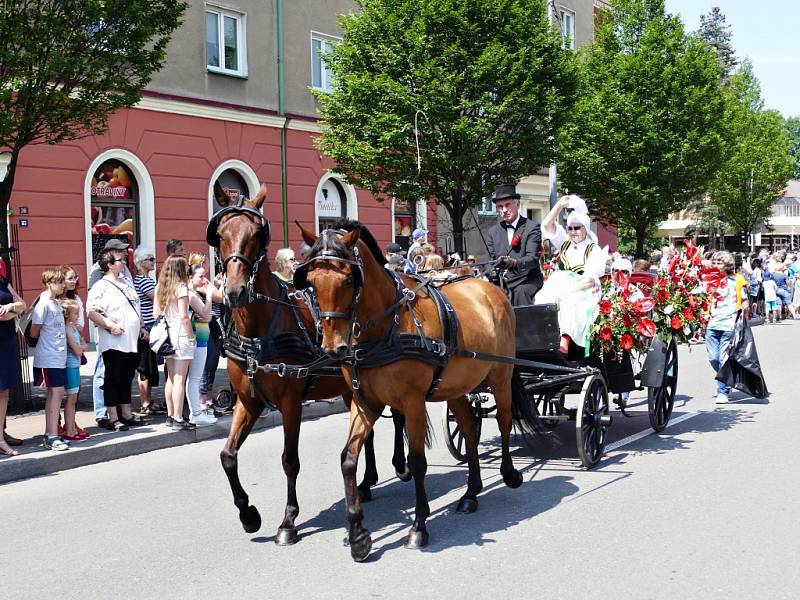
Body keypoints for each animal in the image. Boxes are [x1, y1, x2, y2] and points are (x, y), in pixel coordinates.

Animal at [208, 183, 406, 544]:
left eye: (256, 234)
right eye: (221, 234)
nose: (236, 291)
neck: (259, 329)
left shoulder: (290, 403)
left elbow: (290, 461)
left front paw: (288, 521)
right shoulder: (247, 401)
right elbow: (228, 456)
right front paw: (248, 514)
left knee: (398, 418)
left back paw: (401, 464)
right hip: (350, 387)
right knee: (367, 431)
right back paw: (367, 482)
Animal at [294, 220, 536, 564]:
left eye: (348, 278)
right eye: (312, 282)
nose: (333, 347)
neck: (388, 327)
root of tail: (489, 287)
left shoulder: (412, 403)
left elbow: (418, 461)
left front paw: (418, 526)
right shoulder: (364, 402)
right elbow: (348, 460)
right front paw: (358, 534)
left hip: (500, 375)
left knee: (504, 419)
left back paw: (509, 474)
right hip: (456, 386)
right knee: (468, 428)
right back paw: (471, 492)